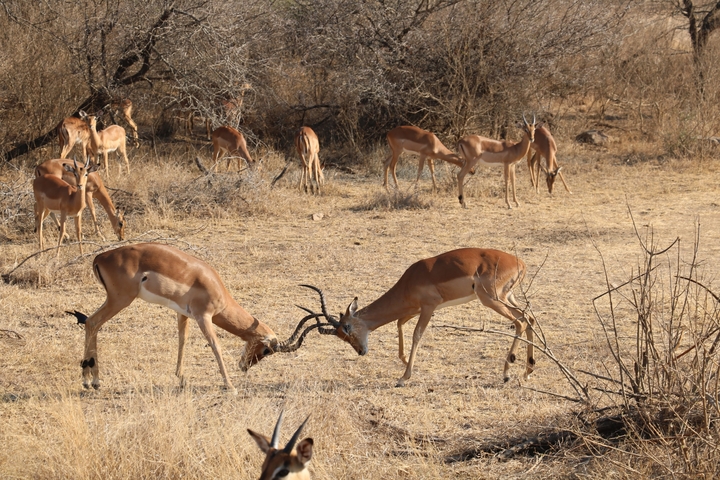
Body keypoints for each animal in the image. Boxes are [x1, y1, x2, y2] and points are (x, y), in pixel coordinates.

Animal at [65, 243, 315, 393]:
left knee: (90, 322)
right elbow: (215, 346)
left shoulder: (183, 314)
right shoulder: (203, 316)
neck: (213, 285)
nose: (244, 366)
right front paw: (230, 386)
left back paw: (90, 380)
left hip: (115, 300)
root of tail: (99, 257)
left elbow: (182, 340)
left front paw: (181, 377)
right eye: (267, 350)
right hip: (120, 300)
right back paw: (92, 381)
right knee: (93, 322)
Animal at [296, 248, 536, 387]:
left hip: (491, 299)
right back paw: (527, 371)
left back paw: (506, 373)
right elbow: (399, 325)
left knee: (520, 322)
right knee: (529, 318)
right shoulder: (413, 309)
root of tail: (521, 263)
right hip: (507, 296)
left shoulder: (429, 307)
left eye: (347, 328)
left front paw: (403, 377)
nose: (361, 351)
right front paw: (404, 363)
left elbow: (416, 335)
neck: (410, 280)